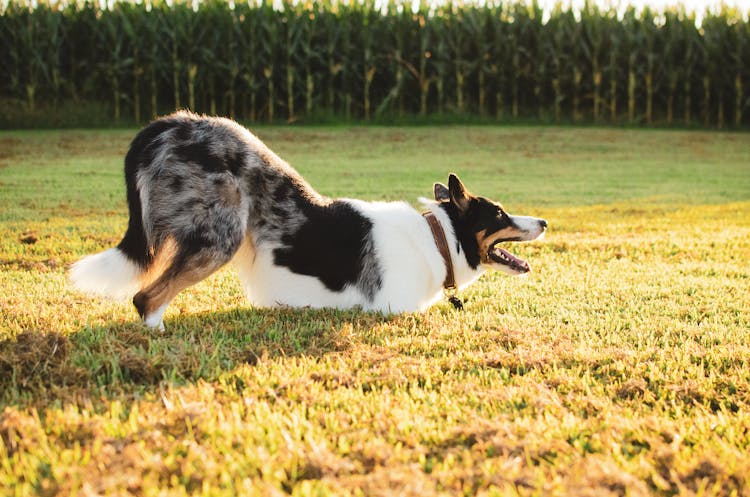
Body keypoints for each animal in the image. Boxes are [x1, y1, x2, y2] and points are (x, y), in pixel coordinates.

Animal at [70, 110, 548, 328]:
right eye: (499, 212)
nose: (544, 222)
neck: (438, 238)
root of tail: (169, 125)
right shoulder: (393, 308)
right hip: (220, 238)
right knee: (146, 298)